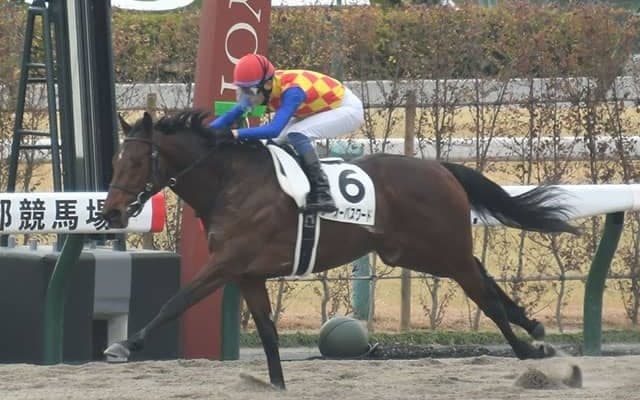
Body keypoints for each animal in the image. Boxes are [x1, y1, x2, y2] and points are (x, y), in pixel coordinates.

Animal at [101, 110, 579, 389]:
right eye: (115, 162)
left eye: (137, 162)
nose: (112, 210)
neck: (230, 183)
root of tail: (441, 169)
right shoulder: (248, 273)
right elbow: (268, 333)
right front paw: (277, 385)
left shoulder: (226, 262)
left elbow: (175, 302)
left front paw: (123, 345)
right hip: (412, 252)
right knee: (484, 274)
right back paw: (534, 329)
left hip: (442, 252)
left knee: (483, 292)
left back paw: (531, 352)